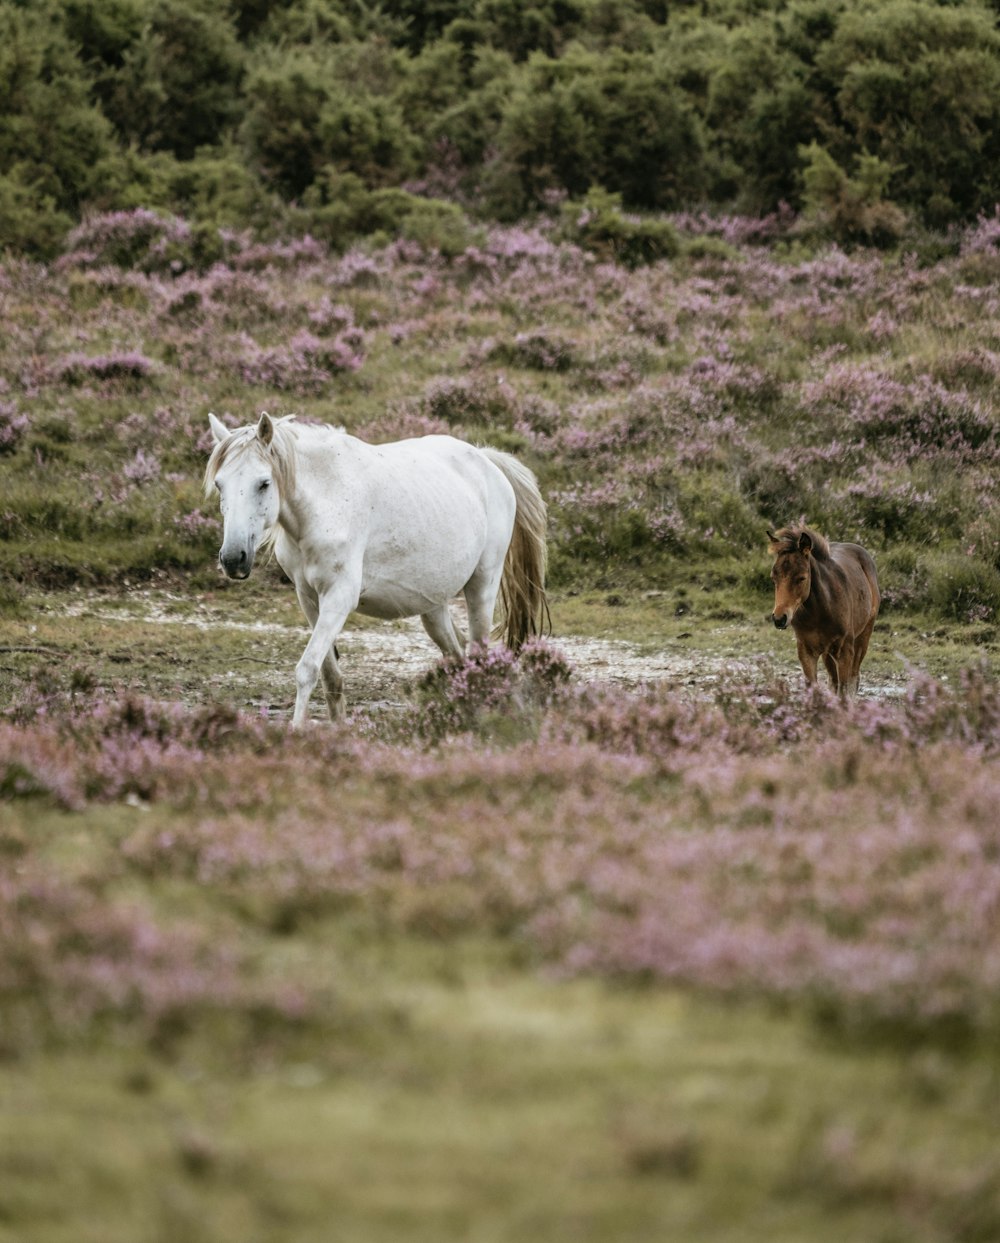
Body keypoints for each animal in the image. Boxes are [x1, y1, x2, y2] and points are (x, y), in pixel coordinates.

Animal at [202, 415, 546, 725]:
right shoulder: (309, 598)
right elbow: (330, 677)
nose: (233, 559)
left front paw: (296, 733)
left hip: (482, 587)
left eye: (264, 483)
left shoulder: (339, 598)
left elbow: (307, 669)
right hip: (433, 607)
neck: (325, 501)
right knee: (457, 656)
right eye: (220, 484)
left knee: (478, 656)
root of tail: (488, 461)